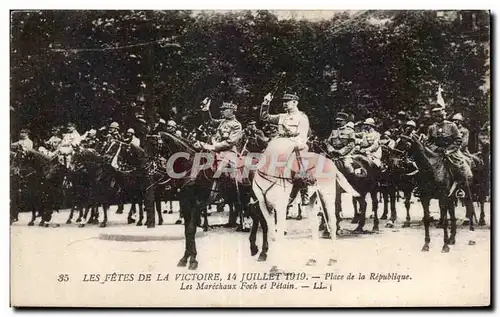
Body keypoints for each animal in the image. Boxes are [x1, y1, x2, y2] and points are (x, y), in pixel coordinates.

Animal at [252, 138, 358, 266]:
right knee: (314, 225)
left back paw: (333, 257)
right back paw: (313, 258)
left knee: (332, 223)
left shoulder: (280, 206)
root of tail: (331, 163)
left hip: (328, 196)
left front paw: (276, 265)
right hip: (312, 200)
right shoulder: (264, 206)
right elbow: (272, 233)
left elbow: (279, 234)